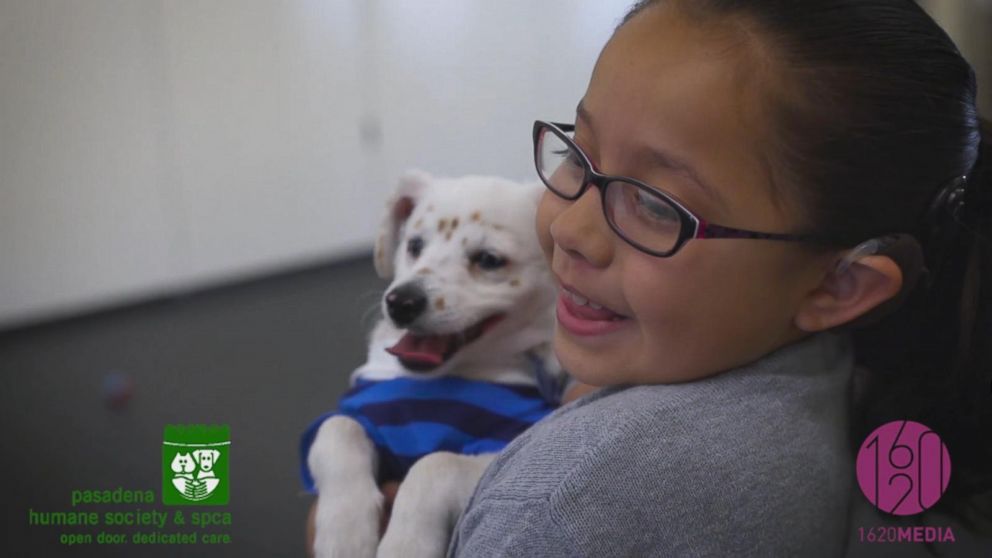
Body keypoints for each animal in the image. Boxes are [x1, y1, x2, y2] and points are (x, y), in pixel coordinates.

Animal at [302, 171, 564, 558]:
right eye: (413, 245)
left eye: (489, 259)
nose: (400, 302)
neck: (446, 376)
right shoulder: (365, 416)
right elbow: (336, 428)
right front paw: (344, 532)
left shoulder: (504, 447)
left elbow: (435, 463)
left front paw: (405, 544)